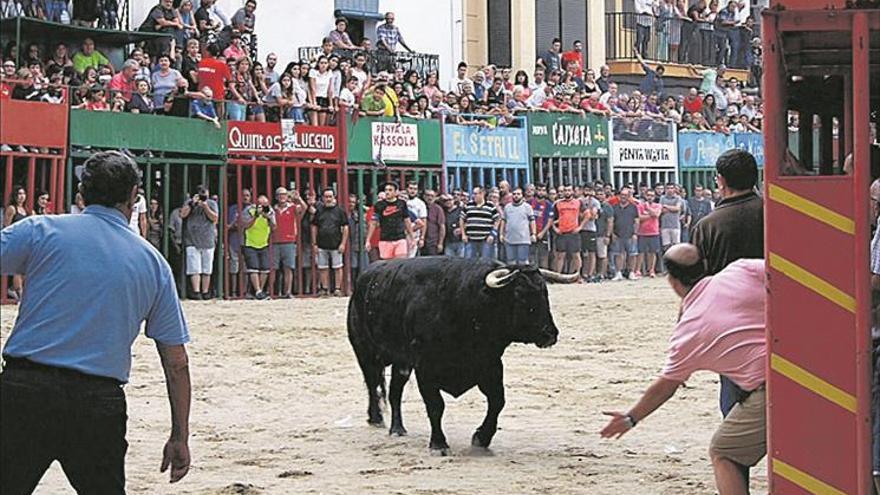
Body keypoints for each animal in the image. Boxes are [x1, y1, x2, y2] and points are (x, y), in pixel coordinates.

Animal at [348, 258, 576, 456]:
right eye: (520, 294)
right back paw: (376, 418)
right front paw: (439, 444)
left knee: (395, 392)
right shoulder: (426, 369)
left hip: (401, 362)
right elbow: (436, 406)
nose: (550, 334)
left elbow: (498, 401)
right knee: (372, 384)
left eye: (545, 292)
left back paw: (397, 428)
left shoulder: (490, 365)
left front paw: (482, 438)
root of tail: (365, 276)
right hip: (365, 352)